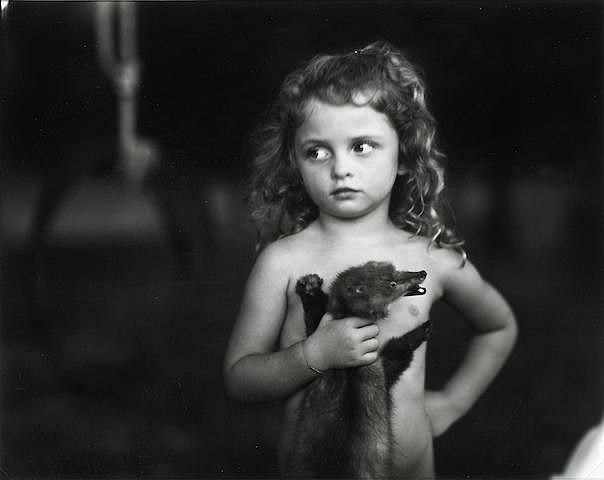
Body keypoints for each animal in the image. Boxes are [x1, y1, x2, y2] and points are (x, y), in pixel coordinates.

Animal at [286, 262, 430, 480]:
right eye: (392, 283)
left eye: (395, 268)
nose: (421, 272)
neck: (349, 371)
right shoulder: (383, 368)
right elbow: (399, 350)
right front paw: (422, 330)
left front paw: (310, 287)